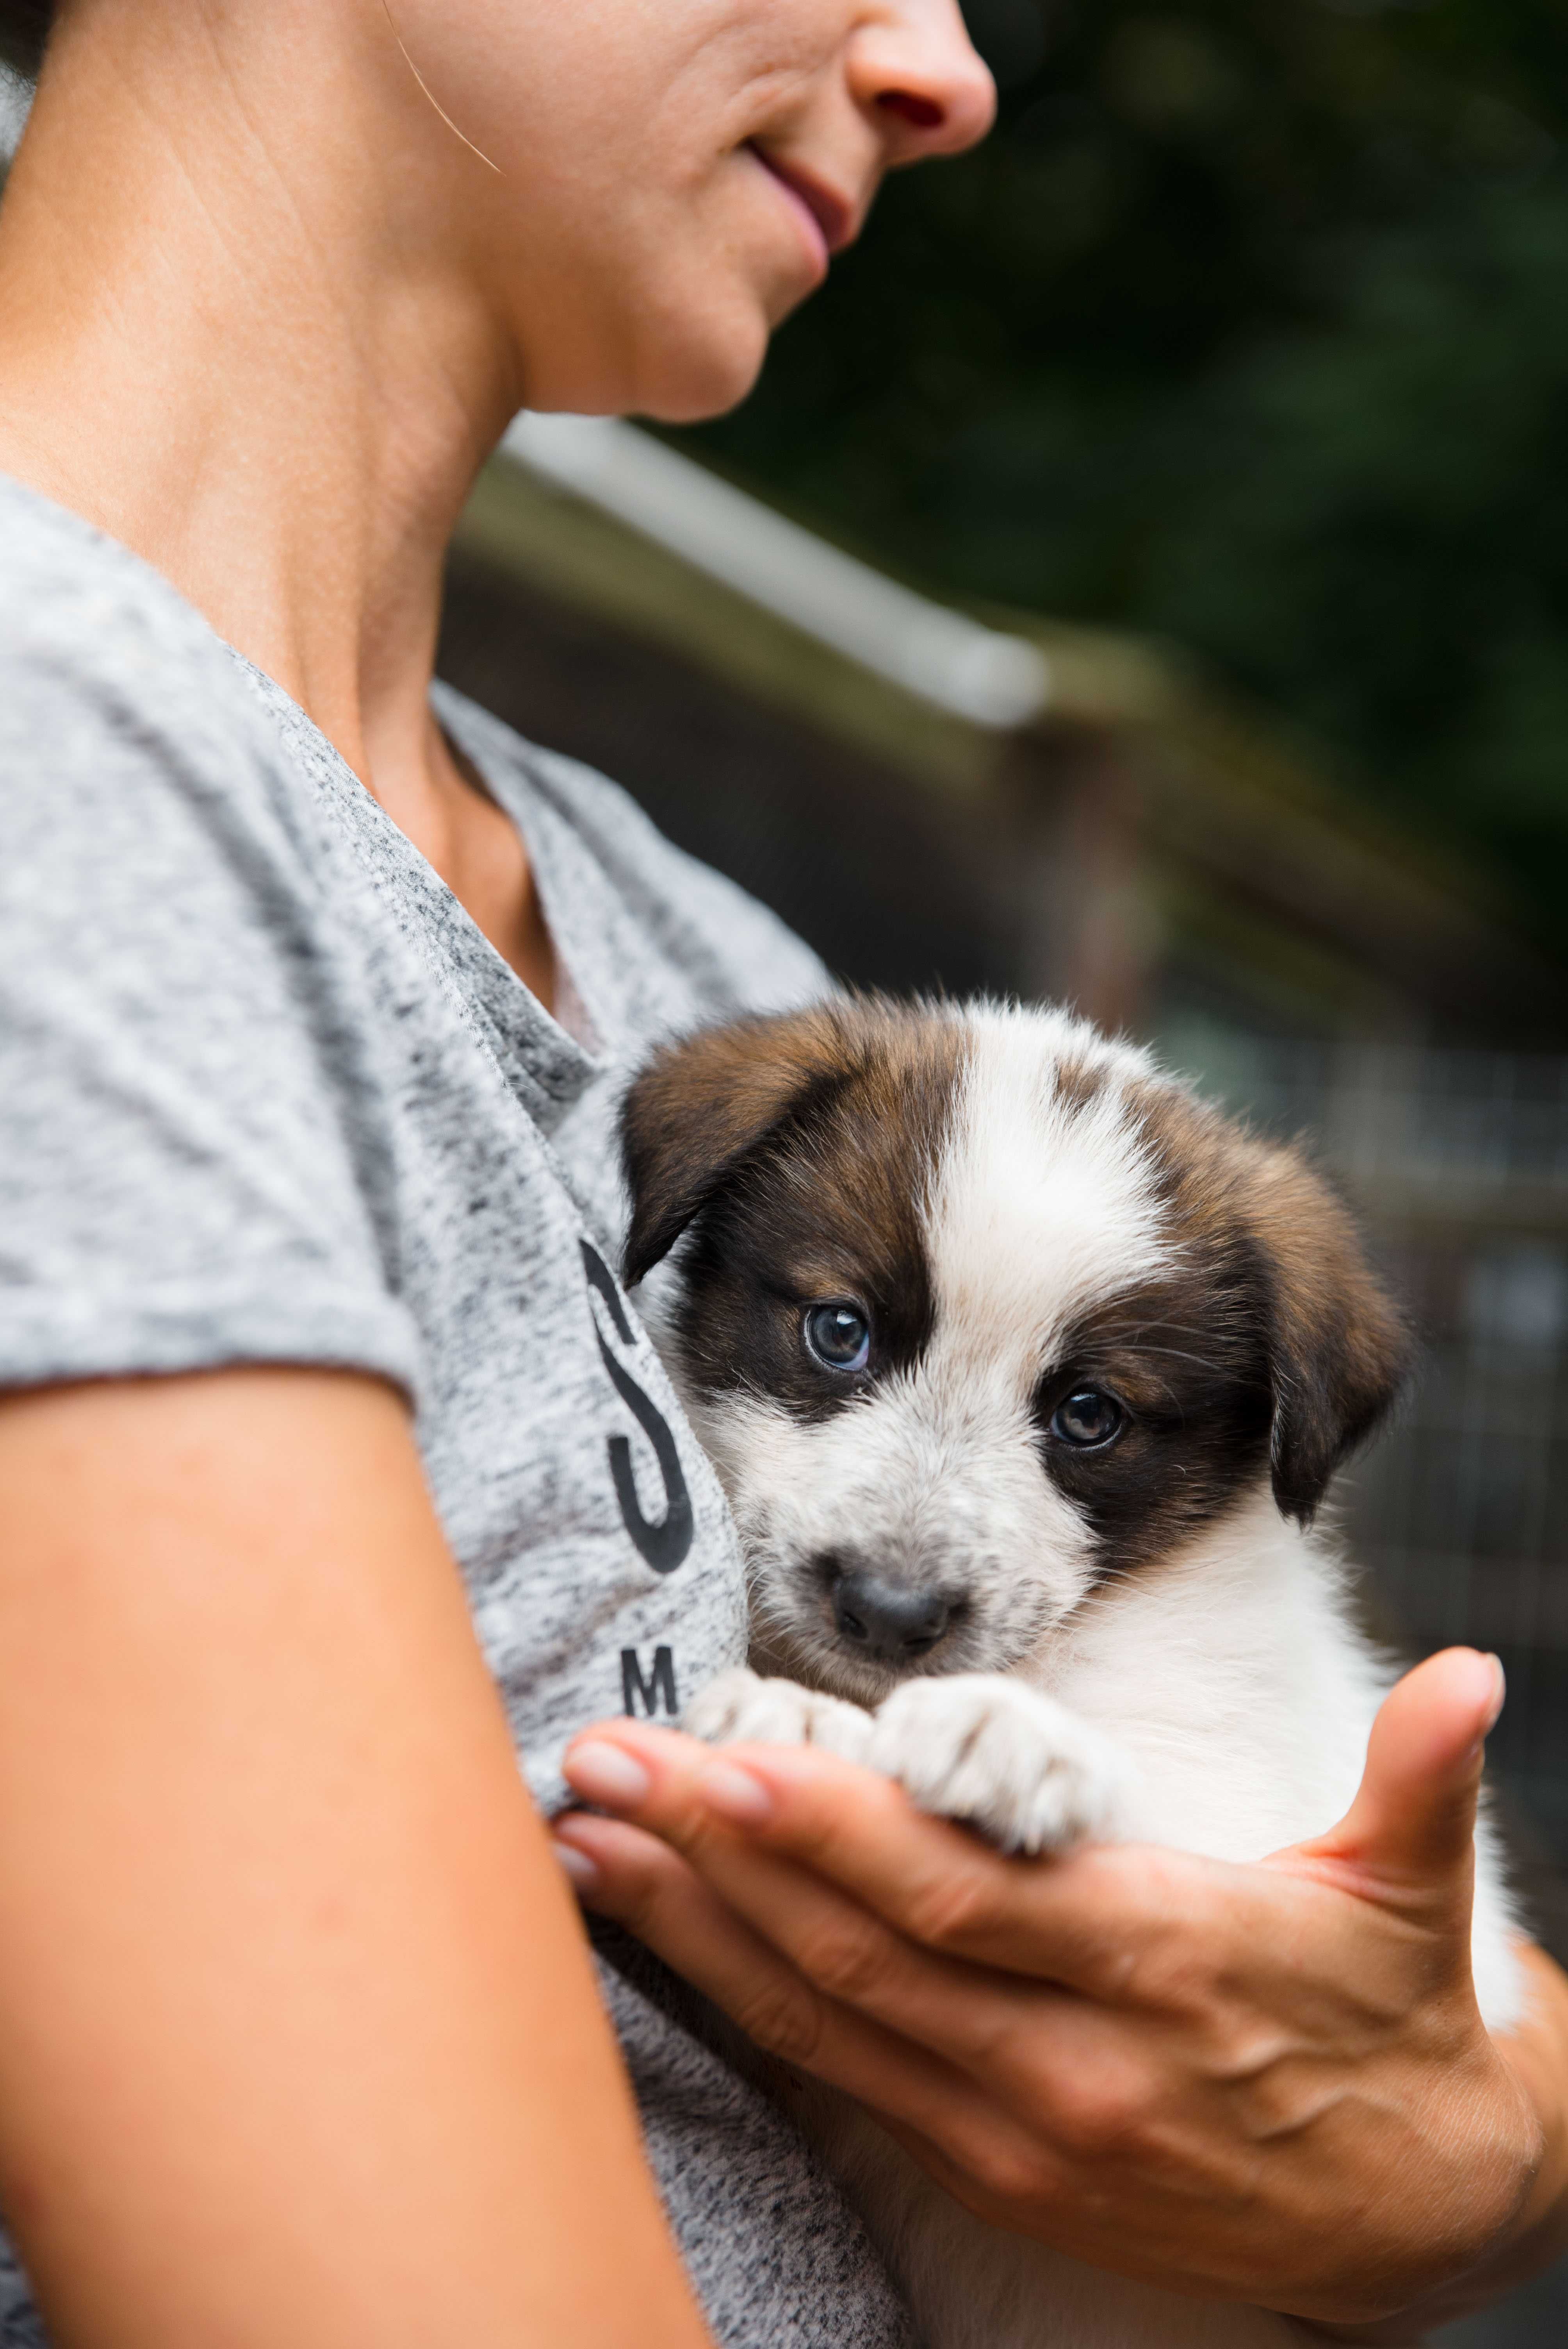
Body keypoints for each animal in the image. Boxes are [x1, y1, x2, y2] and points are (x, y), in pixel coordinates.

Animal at [620, 996, 1521, 2349]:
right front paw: (795, 1717)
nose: (887, 1610)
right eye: (841, 1332)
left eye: (1089, 1416)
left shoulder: (1265, 1795)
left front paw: (1013, 1739)